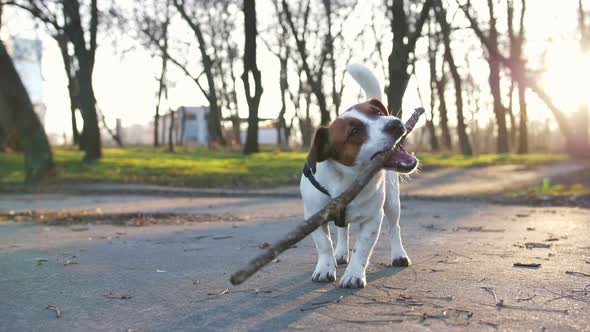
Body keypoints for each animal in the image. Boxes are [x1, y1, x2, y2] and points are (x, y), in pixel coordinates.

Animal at [300, 63, 420, 286]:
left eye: (378, 113)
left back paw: (399, 254)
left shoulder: (373, 218)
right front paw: (325, 267)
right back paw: (340, 252)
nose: (395, 123)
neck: (346, 179)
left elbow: (362, 248)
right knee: (342, 230)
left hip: (392, 202)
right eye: (354, 132)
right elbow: (324, 244)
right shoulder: (313, 217)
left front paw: (354, 274)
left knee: (394, 228)